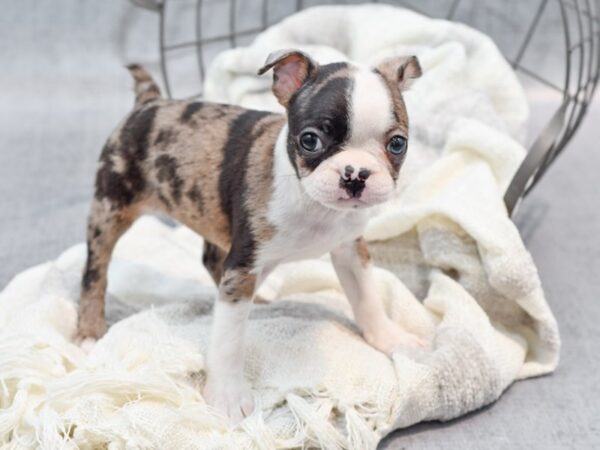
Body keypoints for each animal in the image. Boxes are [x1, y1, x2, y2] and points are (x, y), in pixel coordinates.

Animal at [79, 49, 424, 422]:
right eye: (310, 140)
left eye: (398, 144)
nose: (356, 173)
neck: (312, 203)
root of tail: (150, 101)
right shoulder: (244, 266)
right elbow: (228, 341)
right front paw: (227, 396)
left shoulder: (349, 249)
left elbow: (367, 297)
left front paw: (388, 338)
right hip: (110, 208)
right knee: (95, 271)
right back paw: (89, 330)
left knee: (211, 259)